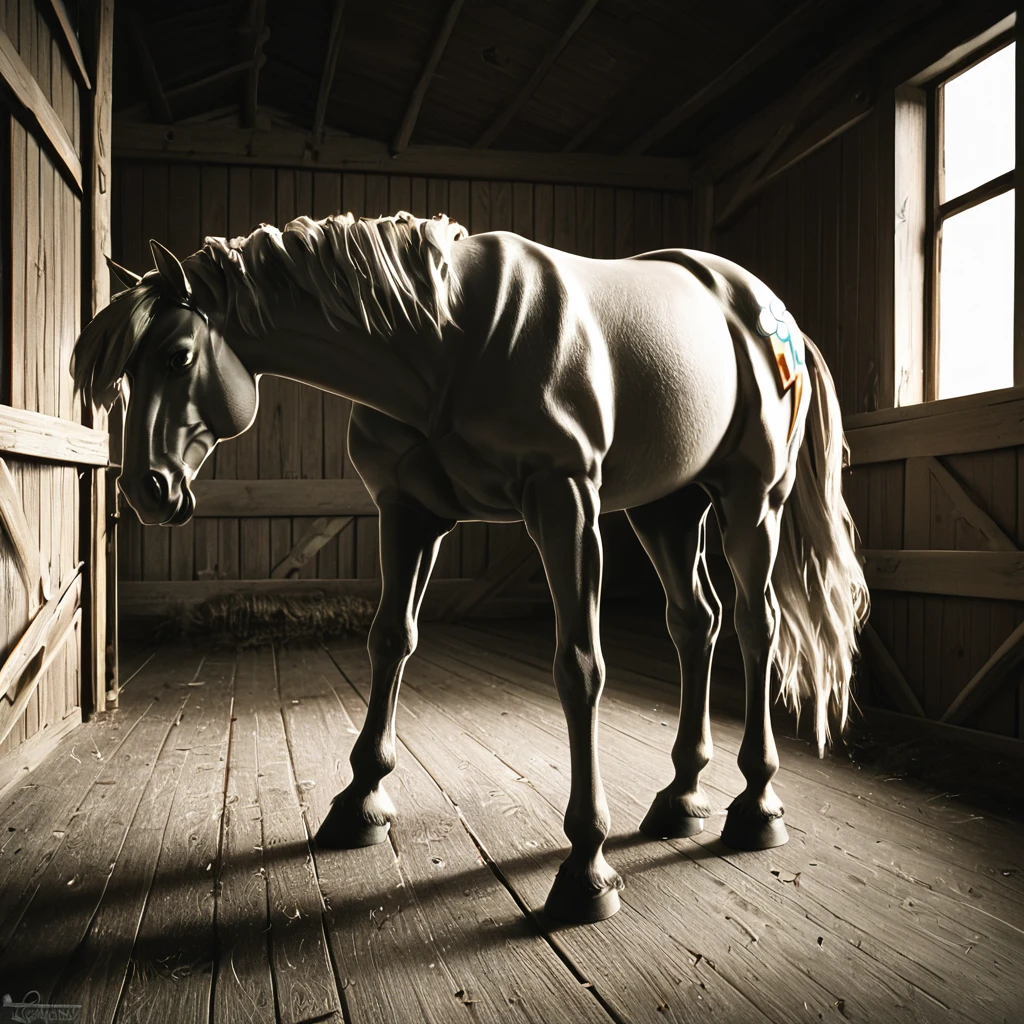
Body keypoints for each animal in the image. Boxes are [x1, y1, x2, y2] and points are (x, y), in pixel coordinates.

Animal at [75, 209, 868, 929]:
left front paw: (586, 867)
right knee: (696, 624)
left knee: (756, 627)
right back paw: (682, 795)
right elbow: (390, 641)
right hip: (666, 509)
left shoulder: (565, 501)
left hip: (751, 501)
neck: (443, 343)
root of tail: (772, 314)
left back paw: (756, 804)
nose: (146, 489)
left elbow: (579, 666)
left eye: (178, 355)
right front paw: (361, 803)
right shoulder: (409, 512)